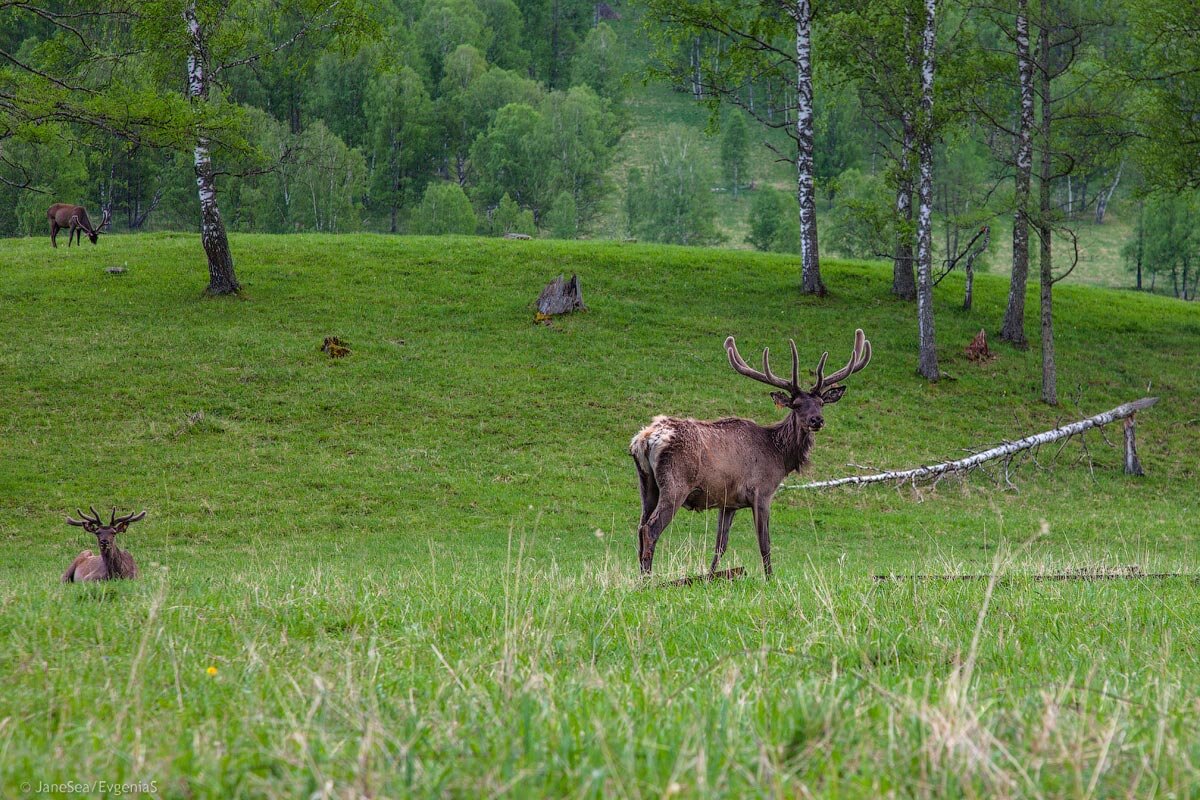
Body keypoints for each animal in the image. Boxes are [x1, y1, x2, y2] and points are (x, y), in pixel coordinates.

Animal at [628, 328, 873, 578]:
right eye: (796, 404)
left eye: (821, 403)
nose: (817, 420)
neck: (779, 456)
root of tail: (645, 438)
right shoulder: (762, 492)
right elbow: (765, 543)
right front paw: (770, 578)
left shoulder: (728, 502)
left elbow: (720, 545)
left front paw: (710, 577)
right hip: (676, 483)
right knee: (650, 529)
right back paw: (647, 579)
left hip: (647, 484)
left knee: (640, 527)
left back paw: (641, 577)